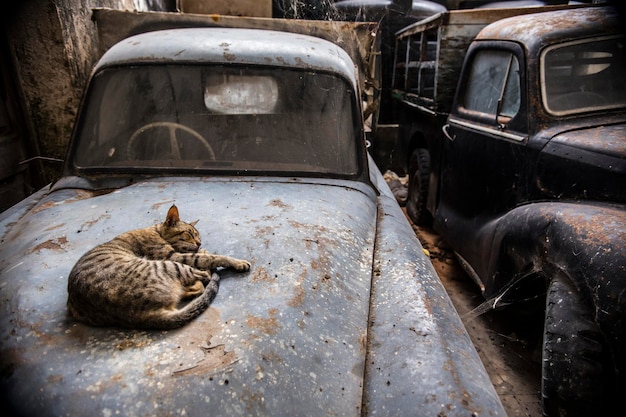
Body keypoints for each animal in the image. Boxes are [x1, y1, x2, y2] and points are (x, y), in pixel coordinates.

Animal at [67, 205, 250, 328]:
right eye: (189, 234)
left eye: (198, 235)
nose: (199, 243)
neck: (156, 231)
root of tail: (133, 316)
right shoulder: (173, 256)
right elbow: (211, 257)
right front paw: (236, 261)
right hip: (167, 264)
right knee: (203, 276)